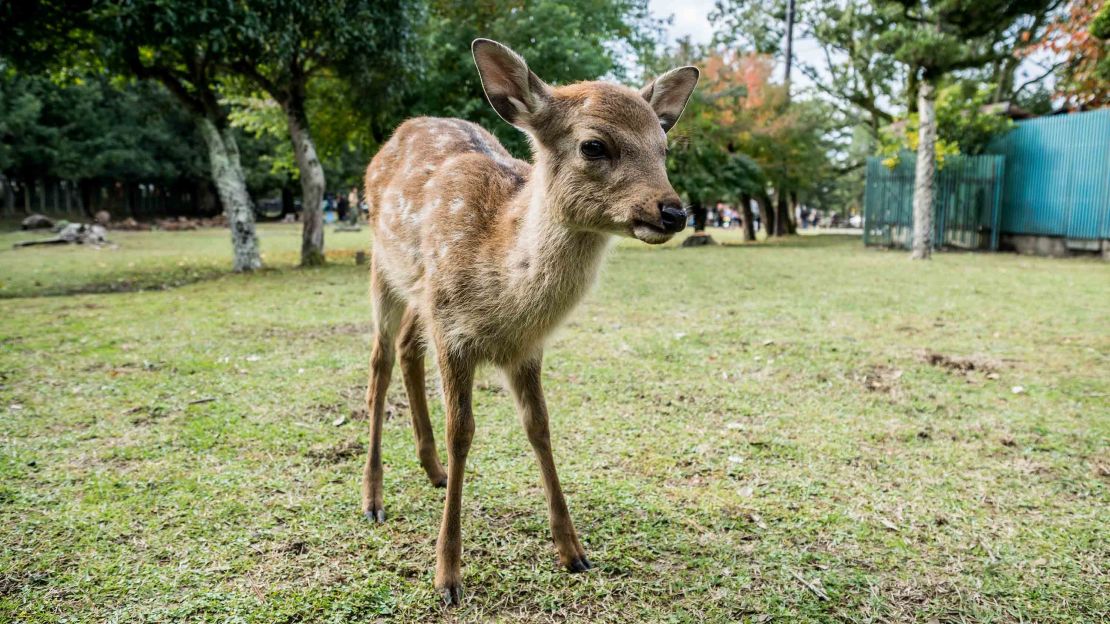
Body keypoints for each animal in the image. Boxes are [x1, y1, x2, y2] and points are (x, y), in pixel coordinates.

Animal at [359, 37, 697, 604]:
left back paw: (432, 471)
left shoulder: (526, 347)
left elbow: (539, 426)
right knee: (379, 363)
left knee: (406, 348)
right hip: (384, 268)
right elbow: (463, 431)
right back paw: (373, 499)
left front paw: (574, 551)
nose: (673, 212)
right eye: (594, 146)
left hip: (418, 296)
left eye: (663, 147)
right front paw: (447, 576)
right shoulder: (451, 330)